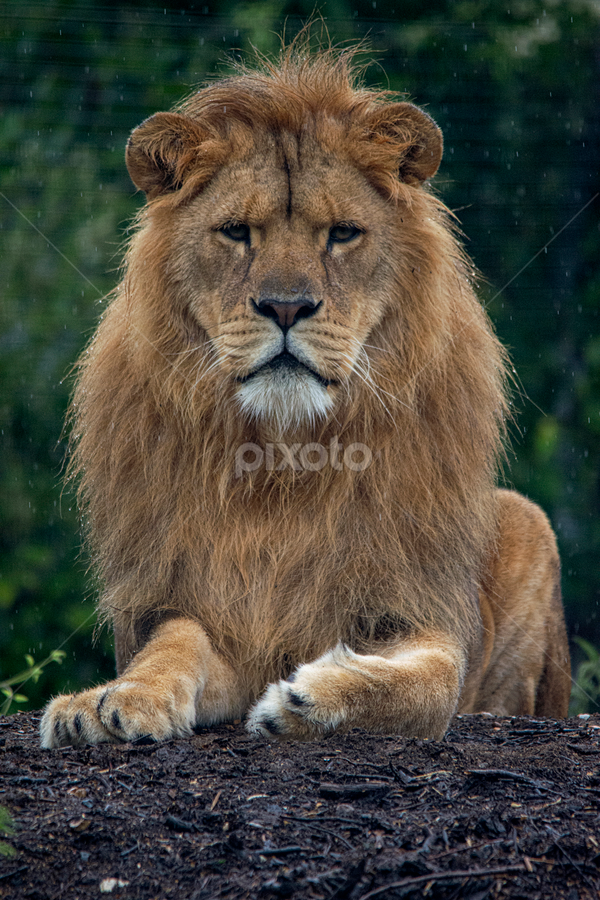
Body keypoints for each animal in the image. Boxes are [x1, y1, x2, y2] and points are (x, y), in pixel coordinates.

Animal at [40, 44, 571, 749]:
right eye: (236, 231)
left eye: (342, 233)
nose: (286, 306)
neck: (284, 460)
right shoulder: (207, 613)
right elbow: (175, 643)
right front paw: (108, 701)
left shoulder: (420, 610)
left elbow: (429, 681)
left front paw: (315, 697)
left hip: (529, 524)